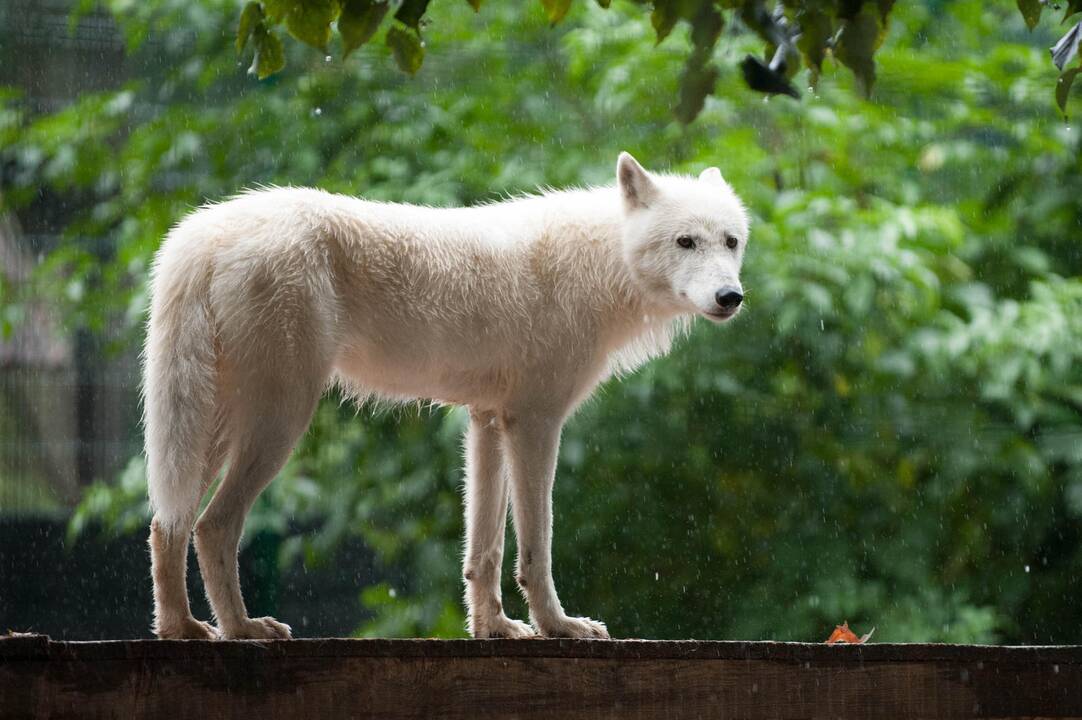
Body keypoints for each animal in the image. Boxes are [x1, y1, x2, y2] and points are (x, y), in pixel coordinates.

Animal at [143, 152, 748, 640]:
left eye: (731, 242)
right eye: (685, 242)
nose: (731, 297)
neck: (600, 263)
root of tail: (201, 233)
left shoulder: (487, 421)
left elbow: (484, 550)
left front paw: (495, 628)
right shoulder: (535, 421)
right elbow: (537, 546)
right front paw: (558, 626)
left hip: (209, 430)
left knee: (166, 523)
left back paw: (182, 629)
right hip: (280, 421)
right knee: (213, 525)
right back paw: (242, 629)